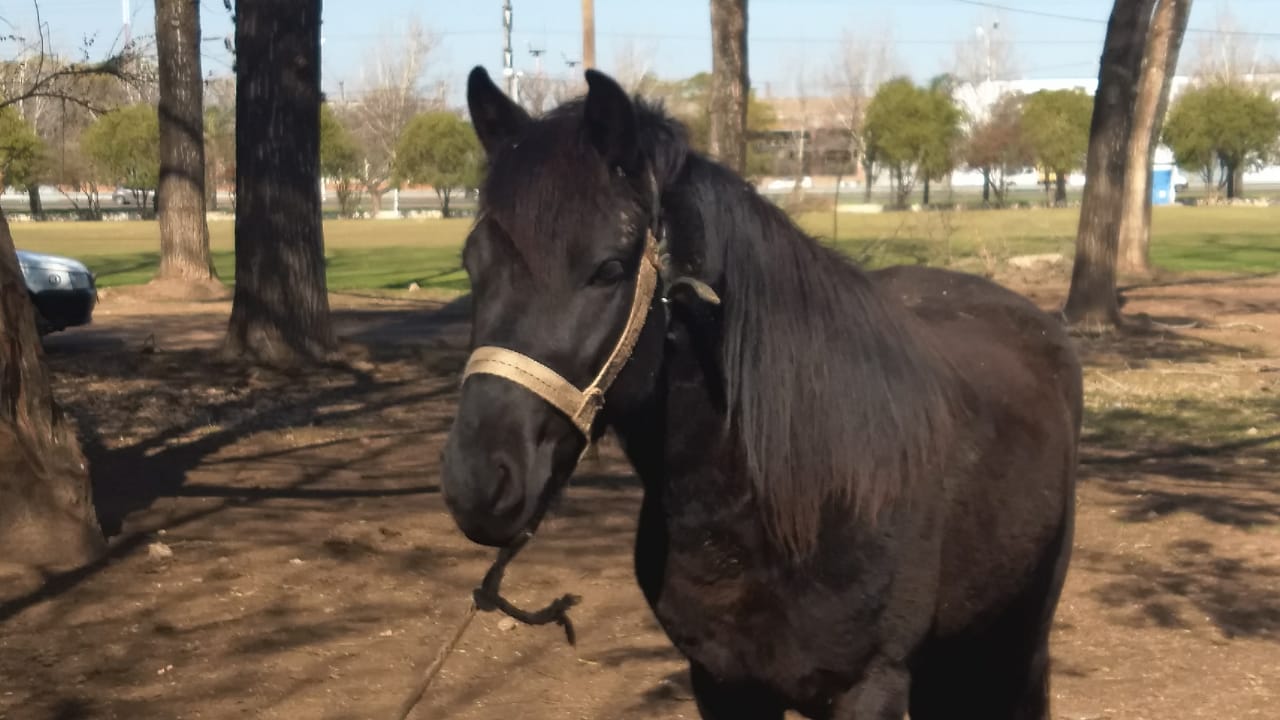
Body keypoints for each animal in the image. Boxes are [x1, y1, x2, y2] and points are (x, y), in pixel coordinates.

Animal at [440, 65, 1083, 720]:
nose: (478, 482)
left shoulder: (870, 685)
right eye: (472, 264)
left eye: (610, 269)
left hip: (1016, 634)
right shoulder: (720, 681)